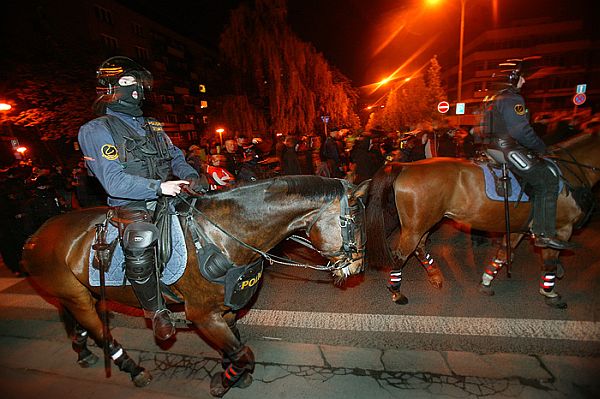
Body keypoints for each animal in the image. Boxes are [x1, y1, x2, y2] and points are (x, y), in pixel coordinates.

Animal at [22, 177, 366, 398]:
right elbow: (244, 354)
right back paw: (132, 368)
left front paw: (232, 374)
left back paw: (82, 352)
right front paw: (224, 382)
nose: (358, 267)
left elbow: (235, 347)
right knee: (101, 333)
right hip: (78, 297)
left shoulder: (226, 308)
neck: (222, 235)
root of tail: (36, 235)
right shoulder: (203, 315)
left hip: (80, 294)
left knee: (78, 323)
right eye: (352, 223)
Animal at [366, 133, 600, 308]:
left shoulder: (520, 228)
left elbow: (503, 254)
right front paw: (550, 292)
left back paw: (434, 276)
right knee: (400, 255)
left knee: (419, 248)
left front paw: (486, 282)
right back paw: (397, 292)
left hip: (423, 223)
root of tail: (406, 166)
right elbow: (550, 260)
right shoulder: (561, 228)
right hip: (416, 227)